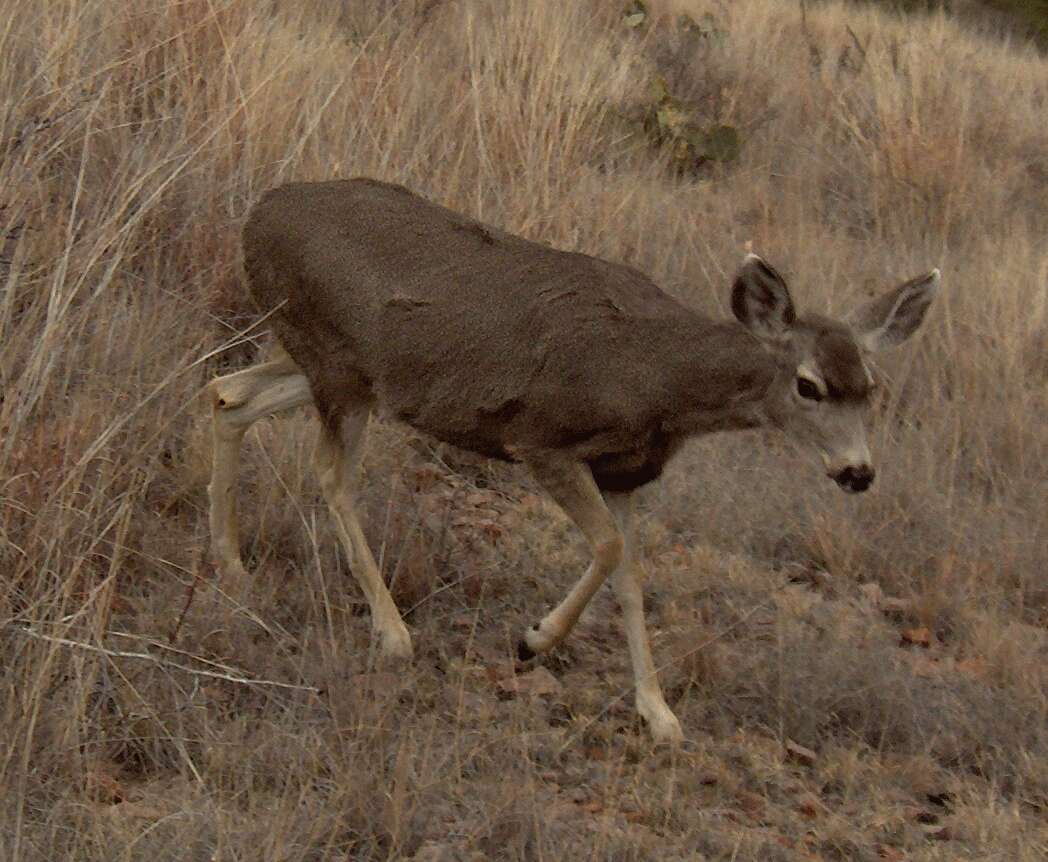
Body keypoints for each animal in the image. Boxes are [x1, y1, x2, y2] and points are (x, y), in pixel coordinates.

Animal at [206, 179, 943, 745]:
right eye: (809, 385)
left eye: (871, 387)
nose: (857, 472)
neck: (661, 377)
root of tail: (258, 211)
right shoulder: (542, 438)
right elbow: (610, 549)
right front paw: (534, 639)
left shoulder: (625, 473)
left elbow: (633, 577)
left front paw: (659, 715)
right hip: (337, 363)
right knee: (327, 472)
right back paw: (392, 633)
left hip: (325, 366)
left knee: (227, 394)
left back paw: (233, 566)